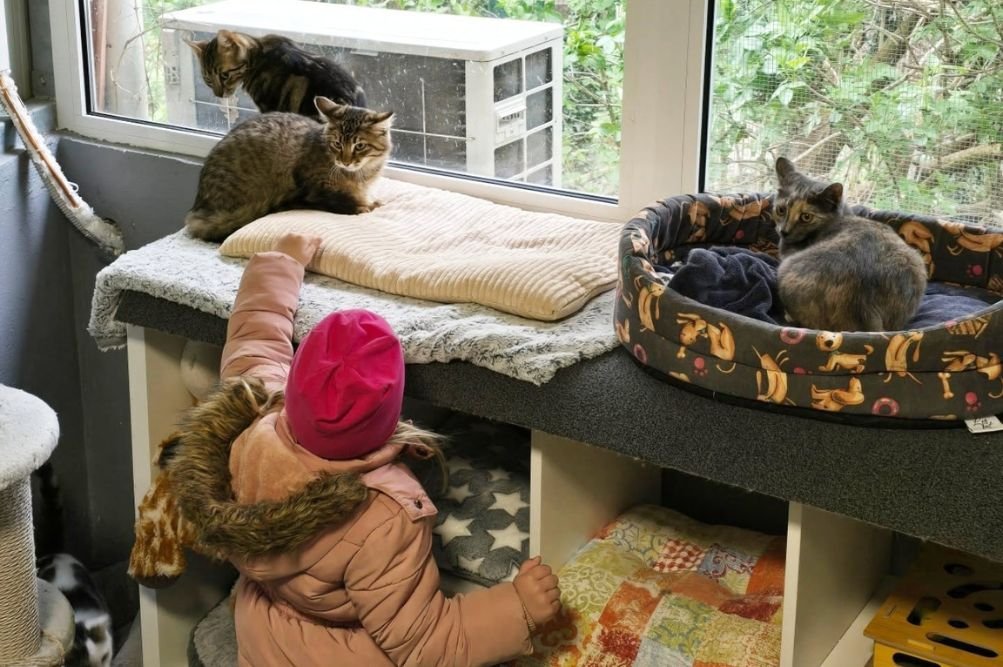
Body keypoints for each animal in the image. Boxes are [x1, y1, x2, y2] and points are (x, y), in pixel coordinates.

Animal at [185, 96, 393, 242]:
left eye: (360, 146)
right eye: (337, 144)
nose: (345, 162)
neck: (361, 175)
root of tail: (197, 210)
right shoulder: (314, 188)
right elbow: (341, 199)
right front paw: (362, 206)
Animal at [772, 157, 927, 331]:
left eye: (806, 217)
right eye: (781, 210)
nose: (784, 231)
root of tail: (863, 302)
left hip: (785, 272)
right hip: (916, 261)